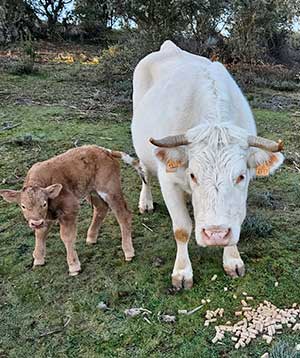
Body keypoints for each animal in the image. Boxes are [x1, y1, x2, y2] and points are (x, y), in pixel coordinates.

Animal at [0, 144, 145, 276]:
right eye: (23, 206)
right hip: (92, 191)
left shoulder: (69, 208)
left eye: (44, 203)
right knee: (101, 208)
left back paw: (128, 251)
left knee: (123, 214)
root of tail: (106, 151)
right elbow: (40, 233)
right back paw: (91, 237)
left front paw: (74, 266)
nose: (35, 223)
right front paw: (38, 259)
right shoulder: (45, 217)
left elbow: (66, 236)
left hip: (110, 189)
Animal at [131, 40, 284, 290]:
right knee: (144, 172)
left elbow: (236, 218)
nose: (216, 234)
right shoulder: (169, 180)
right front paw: (182, 272)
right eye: (193, 175)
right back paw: (146, 202)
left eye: (241, 176)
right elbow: (181, 229)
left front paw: (232, 260)